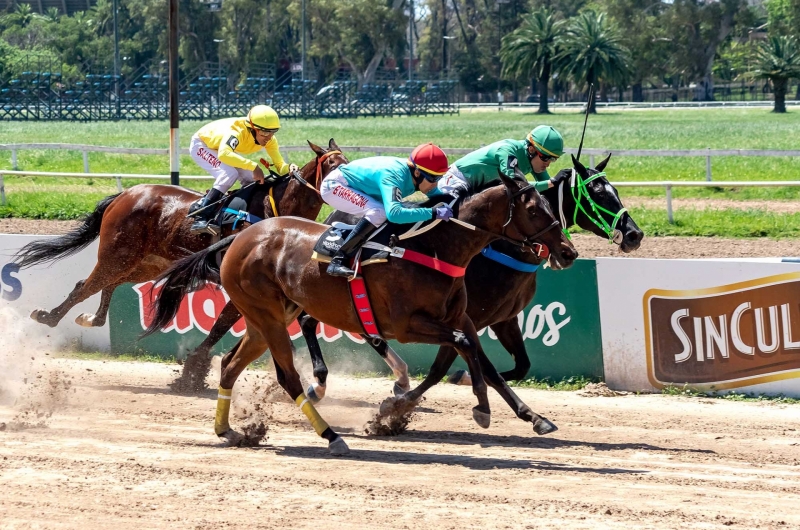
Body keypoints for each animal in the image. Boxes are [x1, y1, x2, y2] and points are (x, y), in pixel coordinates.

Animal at [10, 138, 346, 332]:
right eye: (332, 163)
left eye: (346, 162)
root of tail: (125, 194)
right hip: (117, 254)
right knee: (86, 285)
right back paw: (49, 316)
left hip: (146, 263)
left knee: (108, 285)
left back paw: (92, 318)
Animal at [147, 173, 580, 454]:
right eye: (534, 209)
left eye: (551, 205)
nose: (568, 251)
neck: (436, 249)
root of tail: (241, 235)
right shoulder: (407, 324)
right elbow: (465, 353)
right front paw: (477, 408)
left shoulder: (463, 317)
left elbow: (477, 357)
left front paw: (526, 414)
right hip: (267, 315)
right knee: (287, 375)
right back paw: (330, 435)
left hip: (264, 318)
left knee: (231, 365)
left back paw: (230, 431)